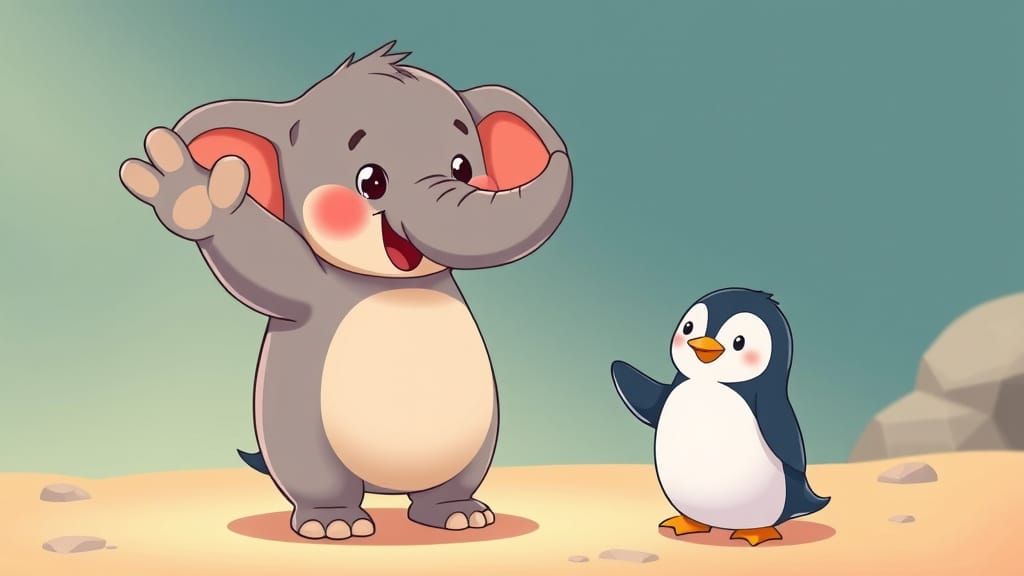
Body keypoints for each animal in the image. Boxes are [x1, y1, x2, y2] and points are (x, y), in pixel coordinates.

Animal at [118, 41, 572, 540]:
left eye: (463, 167)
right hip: (302, 434)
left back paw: (459, 515)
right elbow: (266, 265)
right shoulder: (309, 289)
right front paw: (196, 193)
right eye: (371, 181)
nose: (560, 152)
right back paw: (335, 523)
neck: (389, 282)